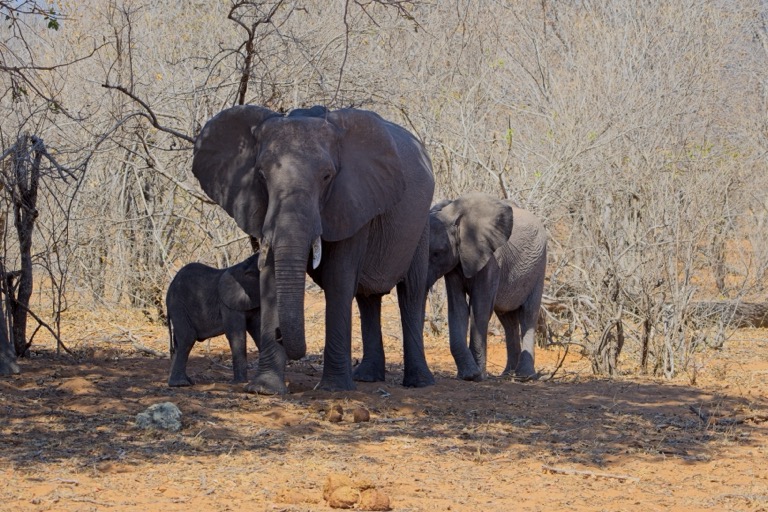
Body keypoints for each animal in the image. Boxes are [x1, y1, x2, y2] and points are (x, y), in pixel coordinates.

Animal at [166, 254, 261, 387]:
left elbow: (259, 330)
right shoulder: (227, 303)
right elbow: (235, 334)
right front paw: (239, 383)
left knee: (178, 343)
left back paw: (184, 381)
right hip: (178, 305)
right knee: (187, 338)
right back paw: (181, 384)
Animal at [192, 105, 435, 393]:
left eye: (327, 176)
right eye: (261, 175)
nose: (279, 334)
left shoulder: (351, 200)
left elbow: (338, 279)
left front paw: (334, 389)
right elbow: (271, 277)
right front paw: (265, 389)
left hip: (420, 226)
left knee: (411, 292)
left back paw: (419, 382)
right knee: (367, 299)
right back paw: (367, 377)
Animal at [427, 192, 547, 381]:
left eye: (437, 253)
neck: (454, 215)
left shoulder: (492, 260)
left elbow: (479, 308)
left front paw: (478, 377)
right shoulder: (455, 263)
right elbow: (458, 309)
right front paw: (467, 375)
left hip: (539, 266)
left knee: (528, 315)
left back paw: (524, 376)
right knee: (508, 320)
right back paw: (507, 374)